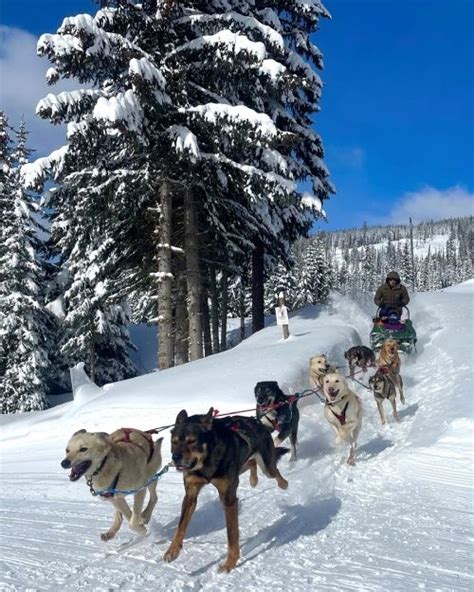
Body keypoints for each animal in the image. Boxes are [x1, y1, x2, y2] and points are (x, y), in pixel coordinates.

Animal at [163, 410, 288, 572]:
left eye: (192, 441)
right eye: (174, 441)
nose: (175, 457)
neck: (206, 462)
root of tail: (258, 422)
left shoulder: (229, 498)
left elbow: (232, 534)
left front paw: (230, 563)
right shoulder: (190, 495)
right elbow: (180, 526)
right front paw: (172, 550)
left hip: (267, 467)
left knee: (274, 470)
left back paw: (284, 484)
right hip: (240, 467)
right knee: (251, 463)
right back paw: (253, 479)